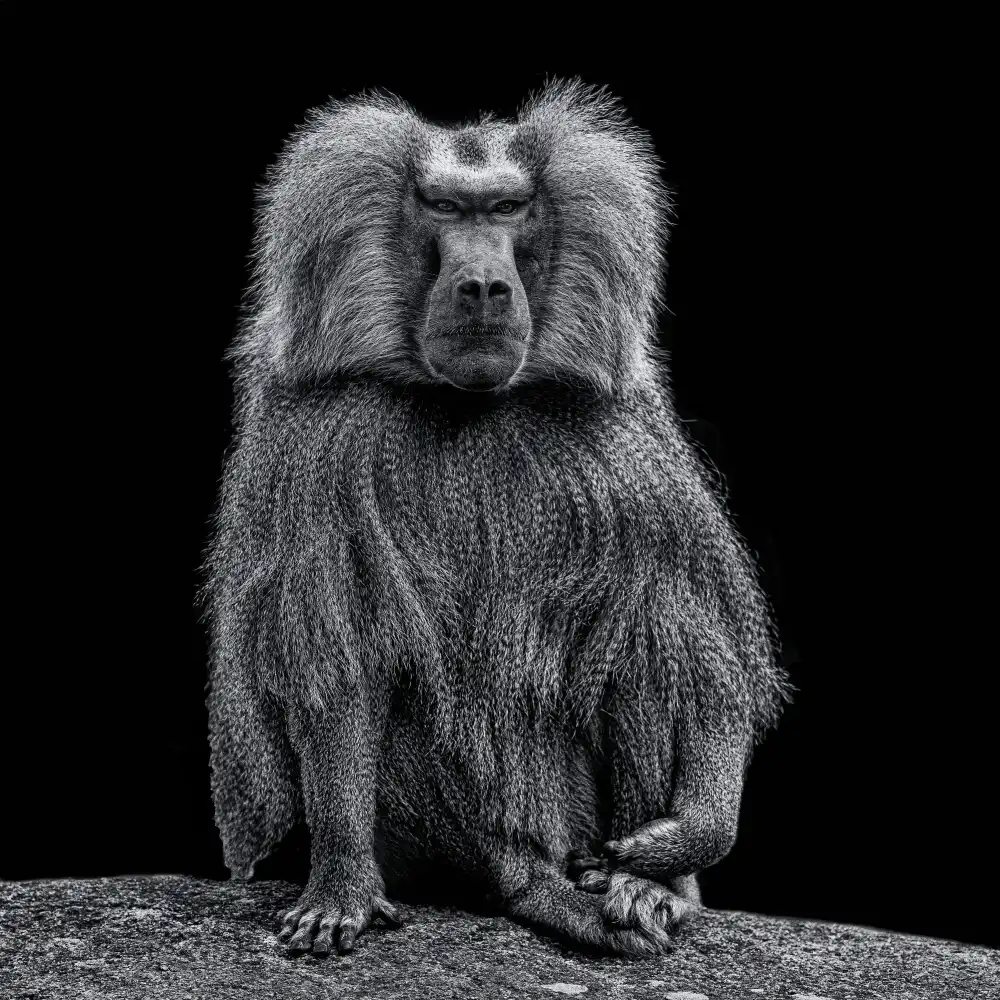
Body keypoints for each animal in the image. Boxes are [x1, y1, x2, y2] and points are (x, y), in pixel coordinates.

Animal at [204, 79, 790, 959]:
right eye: (446, 208)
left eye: (508, 208)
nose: (483, 287)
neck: (468, 404)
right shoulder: (321, 437)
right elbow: (341, 652)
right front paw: (339, 884)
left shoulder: (623, 438)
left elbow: (687, 631)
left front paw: (691, 836)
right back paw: (530, 885)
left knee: (640, 642)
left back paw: (647, 890)